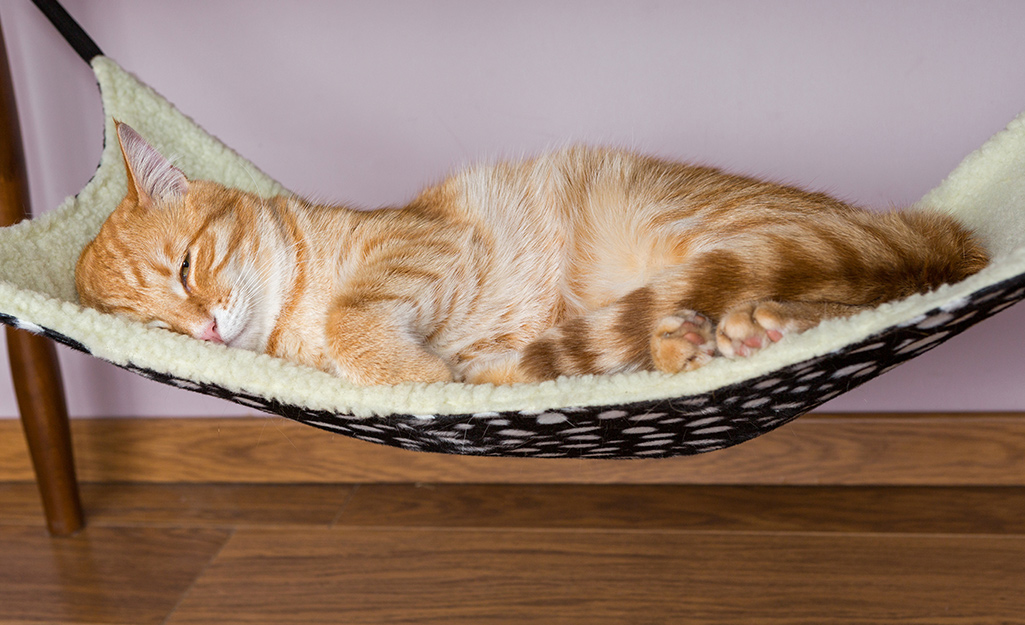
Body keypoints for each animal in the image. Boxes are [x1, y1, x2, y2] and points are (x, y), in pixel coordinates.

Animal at [75, 120, 988, 385]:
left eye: (185, 267)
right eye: (155, 328)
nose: (203, 332)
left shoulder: (424, 240)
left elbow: (353, 318)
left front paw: (414, 377)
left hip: (714, 230)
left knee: (878, 281)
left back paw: (756, 327)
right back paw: (694, 339)